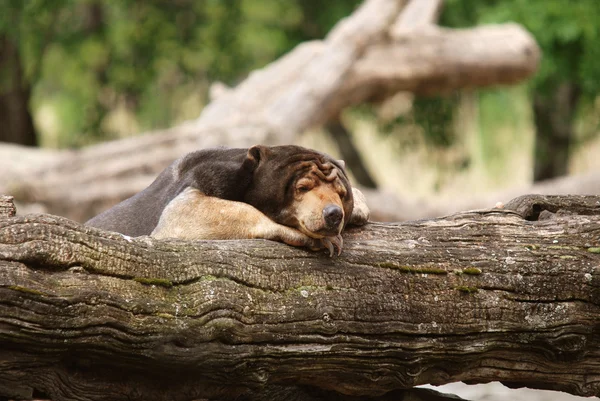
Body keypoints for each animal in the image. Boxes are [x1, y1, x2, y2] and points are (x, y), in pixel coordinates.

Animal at [86, 145, 368, 255]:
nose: (333, 214)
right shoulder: (203, 179)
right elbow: (181, 213)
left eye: (341, 195)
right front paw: (318, 239)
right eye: (302, 187)